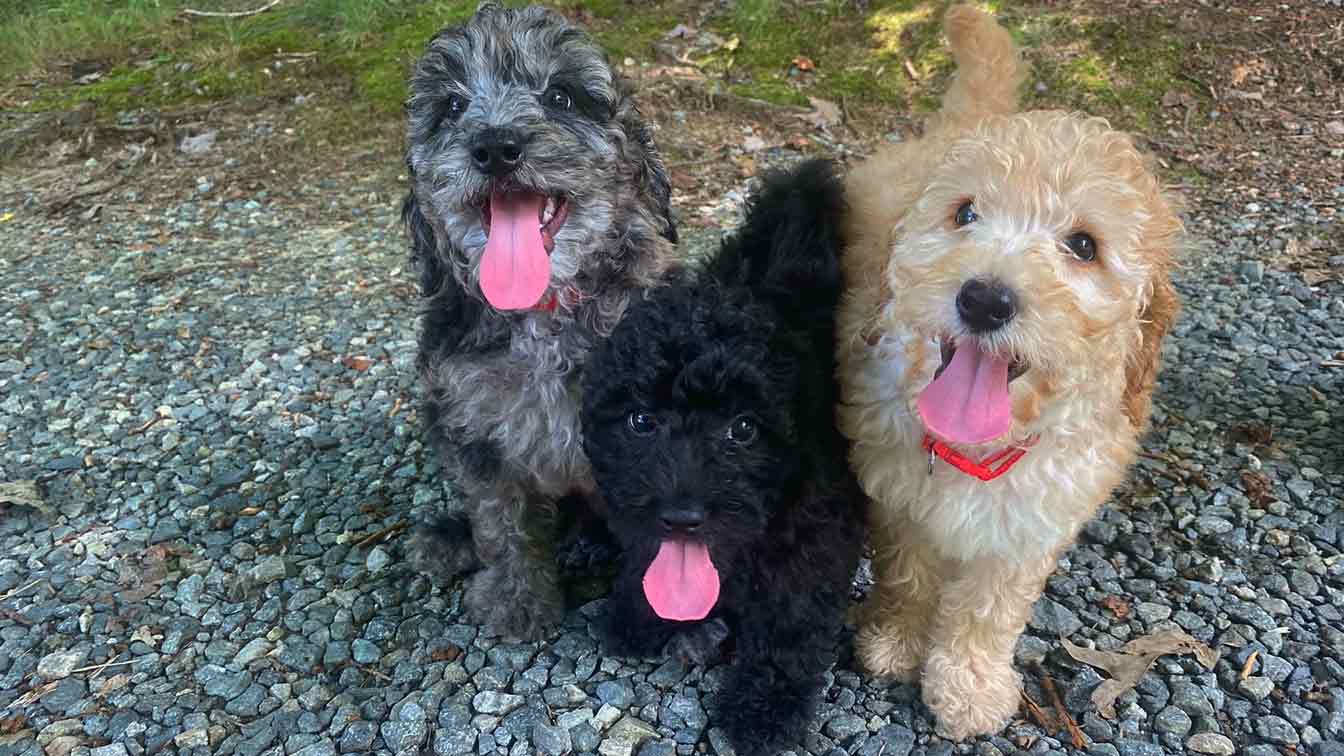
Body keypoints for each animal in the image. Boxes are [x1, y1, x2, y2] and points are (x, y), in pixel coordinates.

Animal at [395, 0, 672, 637]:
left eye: (561, 97)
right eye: (451, 107)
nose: (496, 146)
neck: (541, 313)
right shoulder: (472, 427)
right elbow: (501, 523)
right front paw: (516, 599)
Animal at [583, 157, 865, 747]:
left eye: (744, 429)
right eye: (641, 421)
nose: (683, 516)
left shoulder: (816, 532)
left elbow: (790, 618)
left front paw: (765, 708)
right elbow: (646, 552)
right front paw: (638, 613)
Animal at [833, 2, 1182, 737]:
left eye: (1084, 245)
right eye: (965, 212)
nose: (985, 298)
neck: (977, 445)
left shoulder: (1035, 519)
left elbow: (989, 609)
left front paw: (968, 685)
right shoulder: (897, 490)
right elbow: (907, 574)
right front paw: (896, 642)